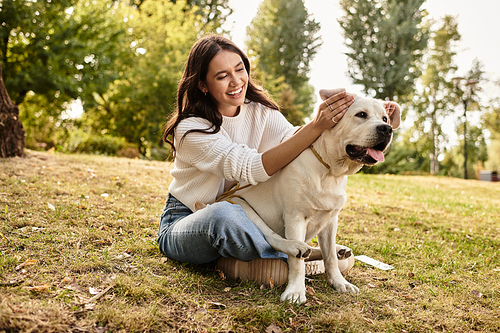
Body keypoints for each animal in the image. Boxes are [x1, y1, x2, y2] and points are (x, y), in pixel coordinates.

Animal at [224, 89, 402, 302]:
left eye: (385, 118)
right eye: (361, 114)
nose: (386, 129)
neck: (330, 171)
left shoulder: (331, 220)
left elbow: (330, 257)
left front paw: (339, 282)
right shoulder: (295, 216)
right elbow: (297, 264)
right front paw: (295, 291)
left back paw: (339, 250)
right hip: (237, 202)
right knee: (270, 238)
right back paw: (295, 246)